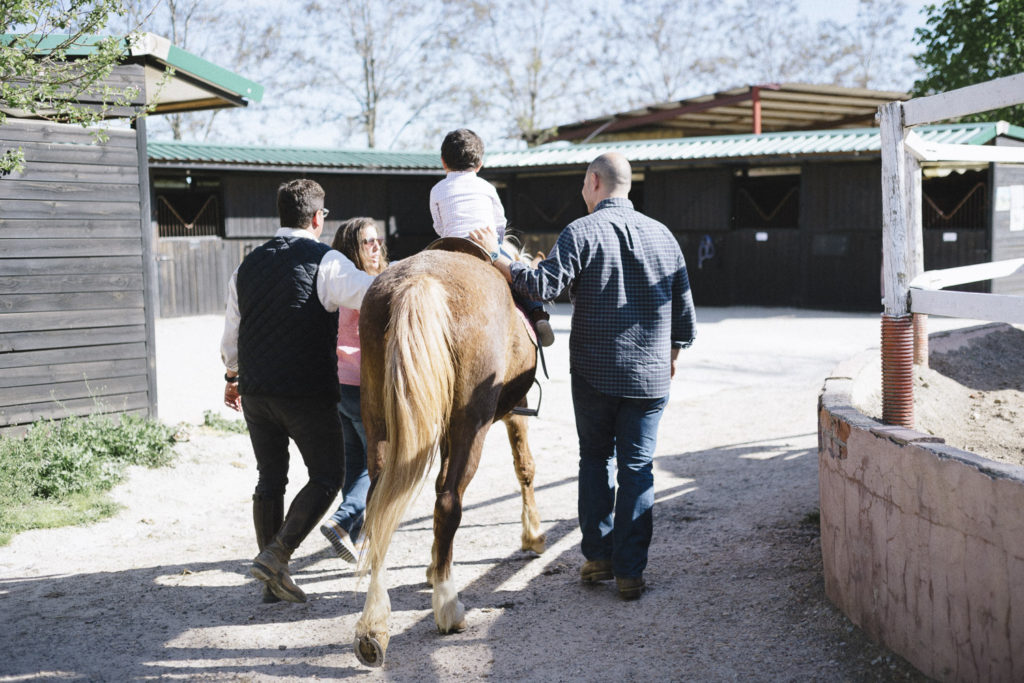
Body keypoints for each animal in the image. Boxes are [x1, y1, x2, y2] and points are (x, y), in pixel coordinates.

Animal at [352, 236, 548, 667]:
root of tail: (420, 280)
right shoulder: (514, 410)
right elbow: (524, 466)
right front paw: (533, 535)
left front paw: (430, 565)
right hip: (470, 424)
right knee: (448, 502)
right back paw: (448, 608)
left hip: (378, 418)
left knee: (380, 506)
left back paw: (373, 626)